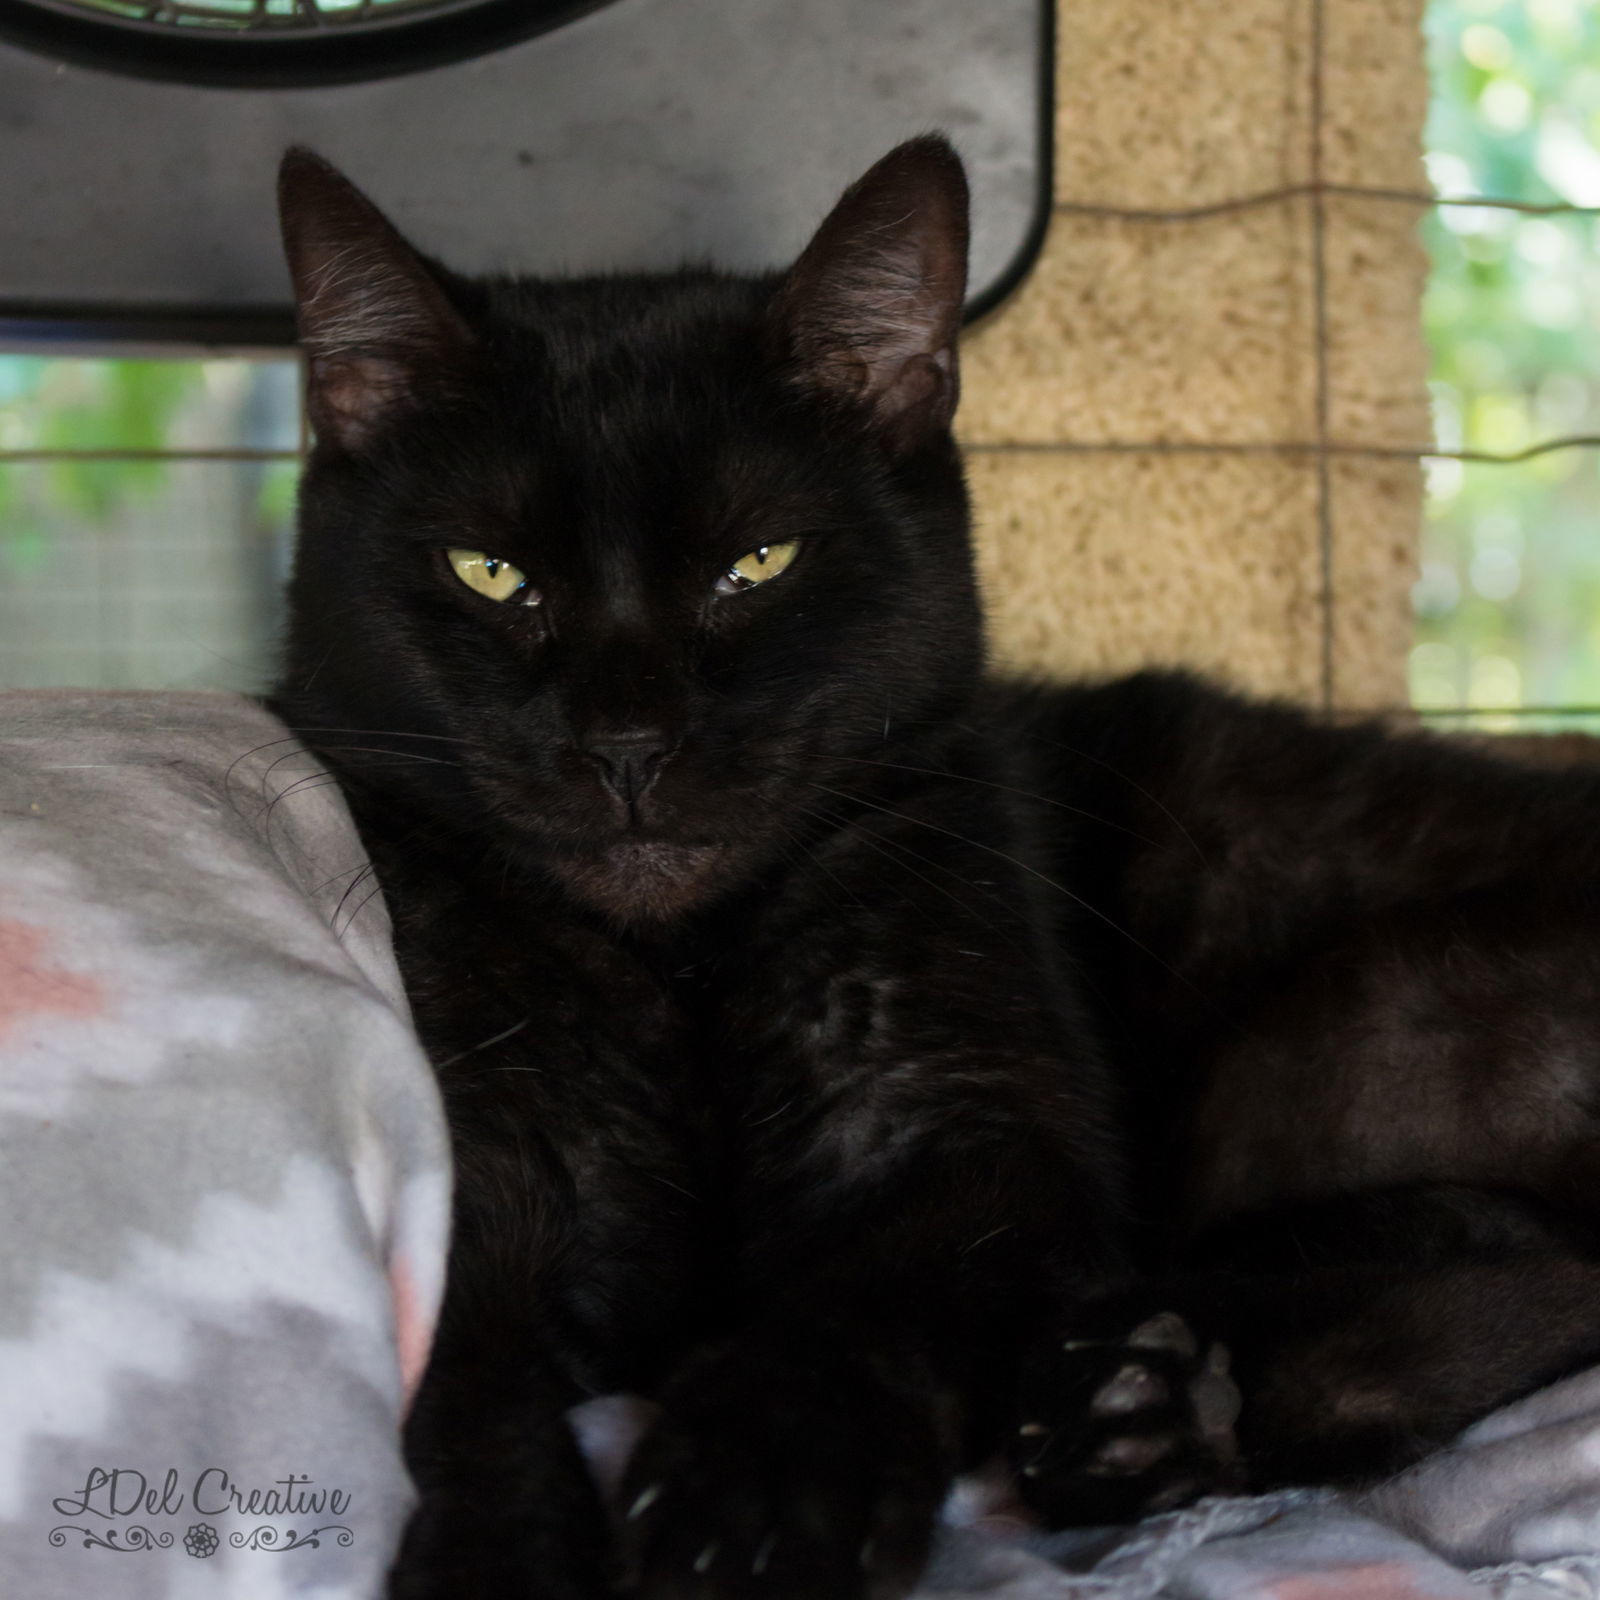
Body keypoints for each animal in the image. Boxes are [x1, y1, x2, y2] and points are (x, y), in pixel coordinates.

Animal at [275, 137, 1600, 1600]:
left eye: (758, 562)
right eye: (490, 571)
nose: (628, 744)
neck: (684, 979)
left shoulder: (970, 1147)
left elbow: (852, 1318)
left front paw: (756, 1502)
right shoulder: (486, 1170)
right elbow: (459, 1386)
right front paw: (503, 1559)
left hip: (1340, 1026)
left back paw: (1141, 1409)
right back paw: (1152, 1412)